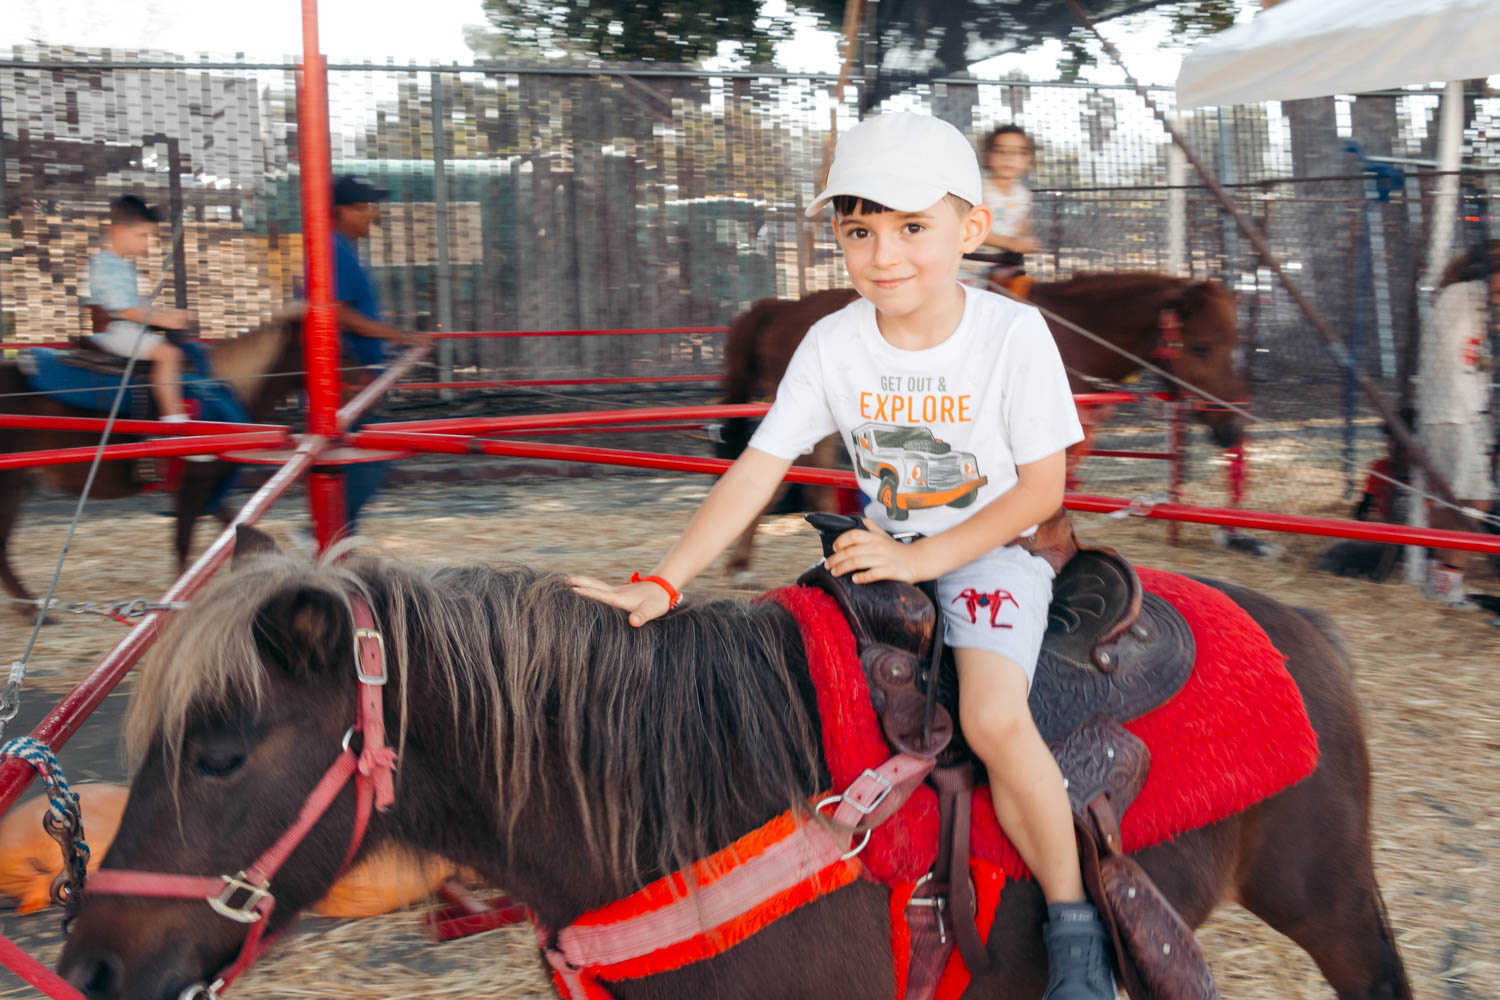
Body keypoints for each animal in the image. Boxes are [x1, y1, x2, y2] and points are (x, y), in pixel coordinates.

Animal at [0, 313, 304, 614]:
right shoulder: (193, 486)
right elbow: (184, 547)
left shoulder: (208, 489)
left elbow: (233, 528)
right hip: (11, 485)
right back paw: (31, 609)